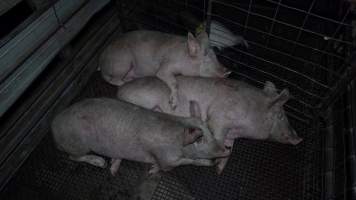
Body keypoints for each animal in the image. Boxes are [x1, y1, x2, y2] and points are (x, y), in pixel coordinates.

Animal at [50, 97, 228, 175]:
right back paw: (101, 163)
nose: (225, 150)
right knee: (73, 157)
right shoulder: (166, 158)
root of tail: (53, 125)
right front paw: (152, 170)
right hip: (77, 144)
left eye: (211, 131)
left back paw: (113, 167)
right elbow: (176, 164)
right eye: (200, 139)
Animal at [98, 30, 229, 109]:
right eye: (207, 60)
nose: (228, 71)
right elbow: (170, 79)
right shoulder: (166, 66)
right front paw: (173, 105)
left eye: (216, 56)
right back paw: (127, 81)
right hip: (123, 62)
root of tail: (102, 62)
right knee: (113, 80)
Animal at [117, 76, 304, 173]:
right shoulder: (219, 117)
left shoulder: (232, 134)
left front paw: (219, 170)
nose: (299, 138)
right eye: (280, 116)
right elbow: (217, 137)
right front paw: (214, 160)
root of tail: (119, 92)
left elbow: (229, 148)